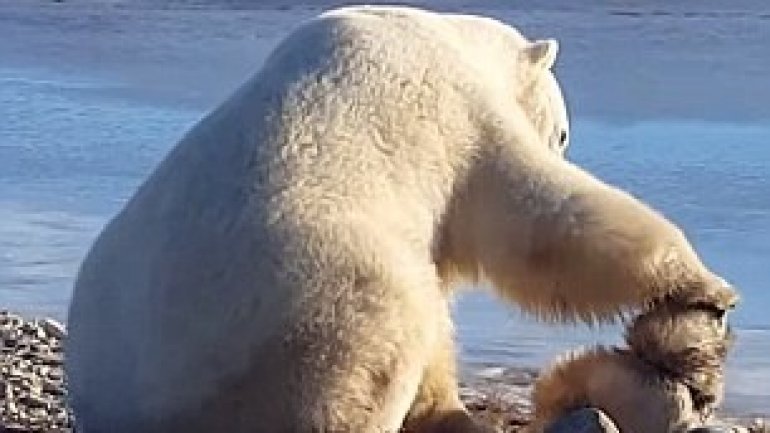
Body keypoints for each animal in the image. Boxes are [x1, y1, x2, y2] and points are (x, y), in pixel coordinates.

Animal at [67, 4, 732, 432]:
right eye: (564, 131)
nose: (563, 141)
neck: (445, 36)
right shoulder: (457, 115)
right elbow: (538, 219)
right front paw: (706, 288)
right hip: (305, 309)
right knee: (379, 341)